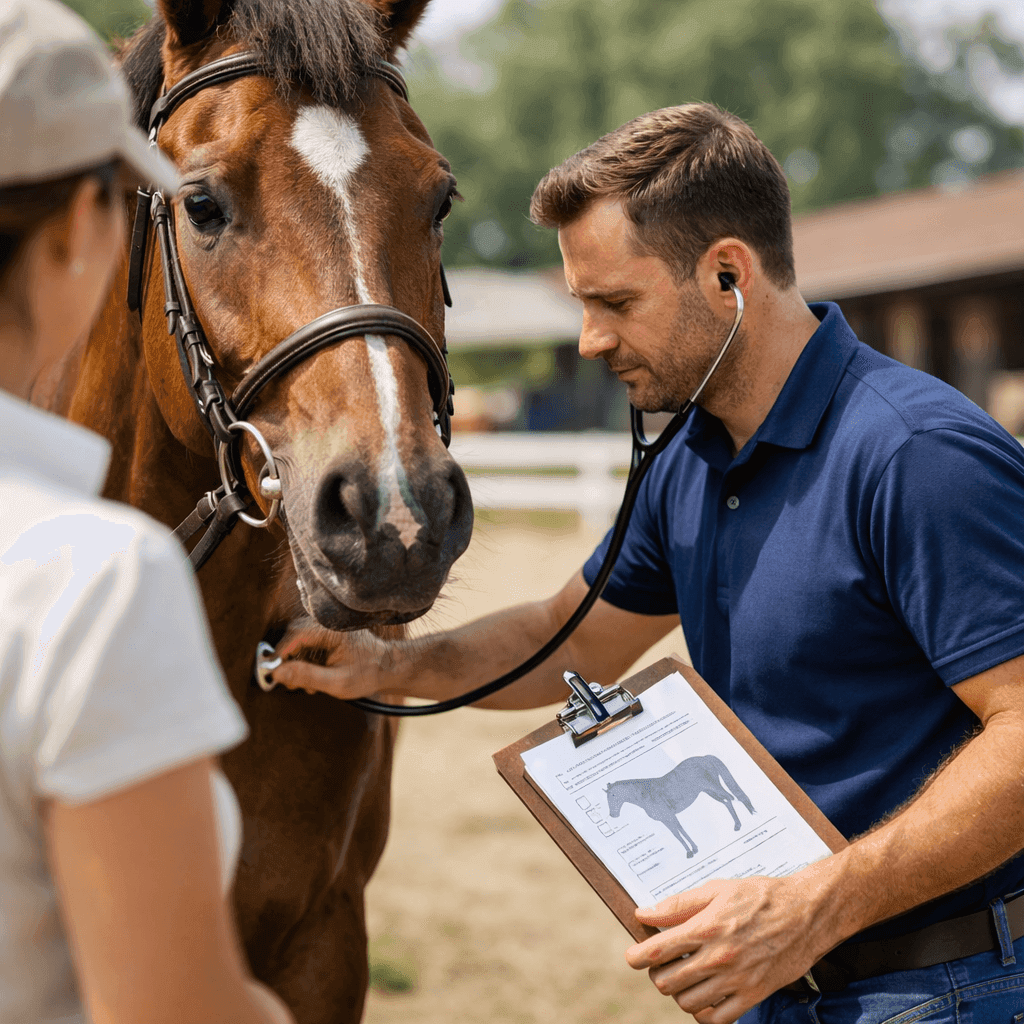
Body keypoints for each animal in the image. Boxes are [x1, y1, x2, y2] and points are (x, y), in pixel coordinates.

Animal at [605, 754, 755, 858]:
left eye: (613, 795)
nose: (613, 815)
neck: (646, 794)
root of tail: (704, 757)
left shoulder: (670, 816)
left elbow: (680, 831)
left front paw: (693, 850)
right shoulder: (665, 820)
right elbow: (677, 834)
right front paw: (691, 851)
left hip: (714, 787)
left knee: (733, 798)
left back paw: (743, 822)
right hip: (709, 791)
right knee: (727, 802)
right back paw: (738, 825)